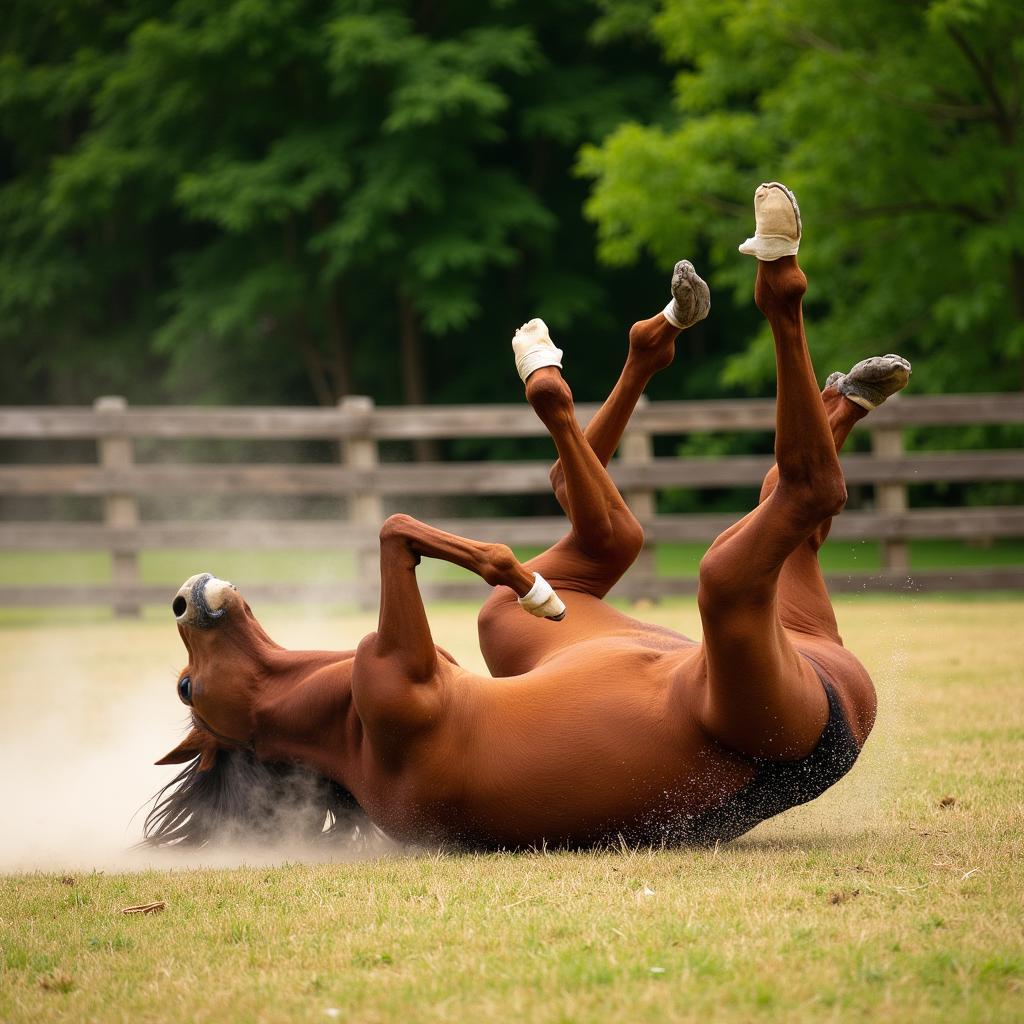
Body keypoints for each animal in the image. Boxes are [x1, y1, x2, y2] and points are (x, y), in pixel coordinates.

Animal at [144, 184, 913, 847]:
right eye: (185, 686)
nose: (182, 599)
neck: (338, 730)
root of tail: (842, 695)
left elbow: (398, 527)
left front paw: (527, 583)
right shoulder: (389, 670)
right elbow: (398, 530)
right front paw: (528, 586)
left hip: (732, 625)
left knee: (609, 506)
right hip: (757, 647)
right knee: (802, 491)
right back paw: (775, 271)